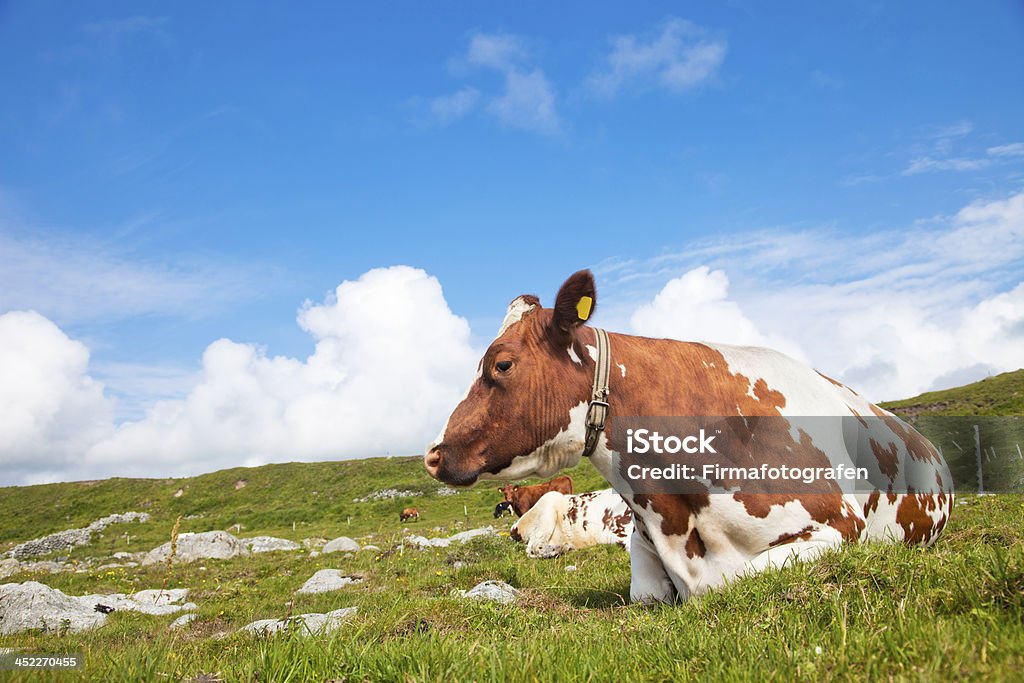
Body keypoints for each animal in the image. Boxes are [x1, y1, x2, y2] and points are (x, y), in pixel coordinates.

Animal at [423, 270, 950, 602]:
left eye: (501, 364)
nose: (433, 455)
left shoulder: (836, 528)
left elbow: (738, 577)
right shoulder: (643, 538)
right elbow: (645, 592)